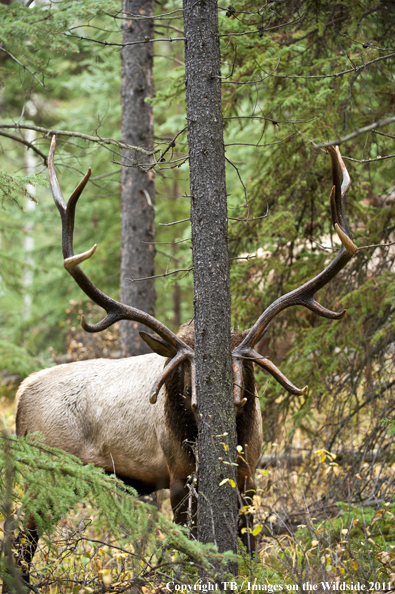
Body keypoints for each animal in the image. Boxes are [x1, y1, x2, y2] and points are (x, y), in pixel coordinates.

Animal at [13, 138, 358, 584]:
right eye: (187, 366)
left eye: (242, 362)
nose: (223, 397)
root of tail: (19, 396)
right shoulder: (177, 475)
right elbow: (191, 547)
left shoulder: (250, 475)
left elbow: (250, 550)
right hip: (47, 471)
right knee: (20, 541)